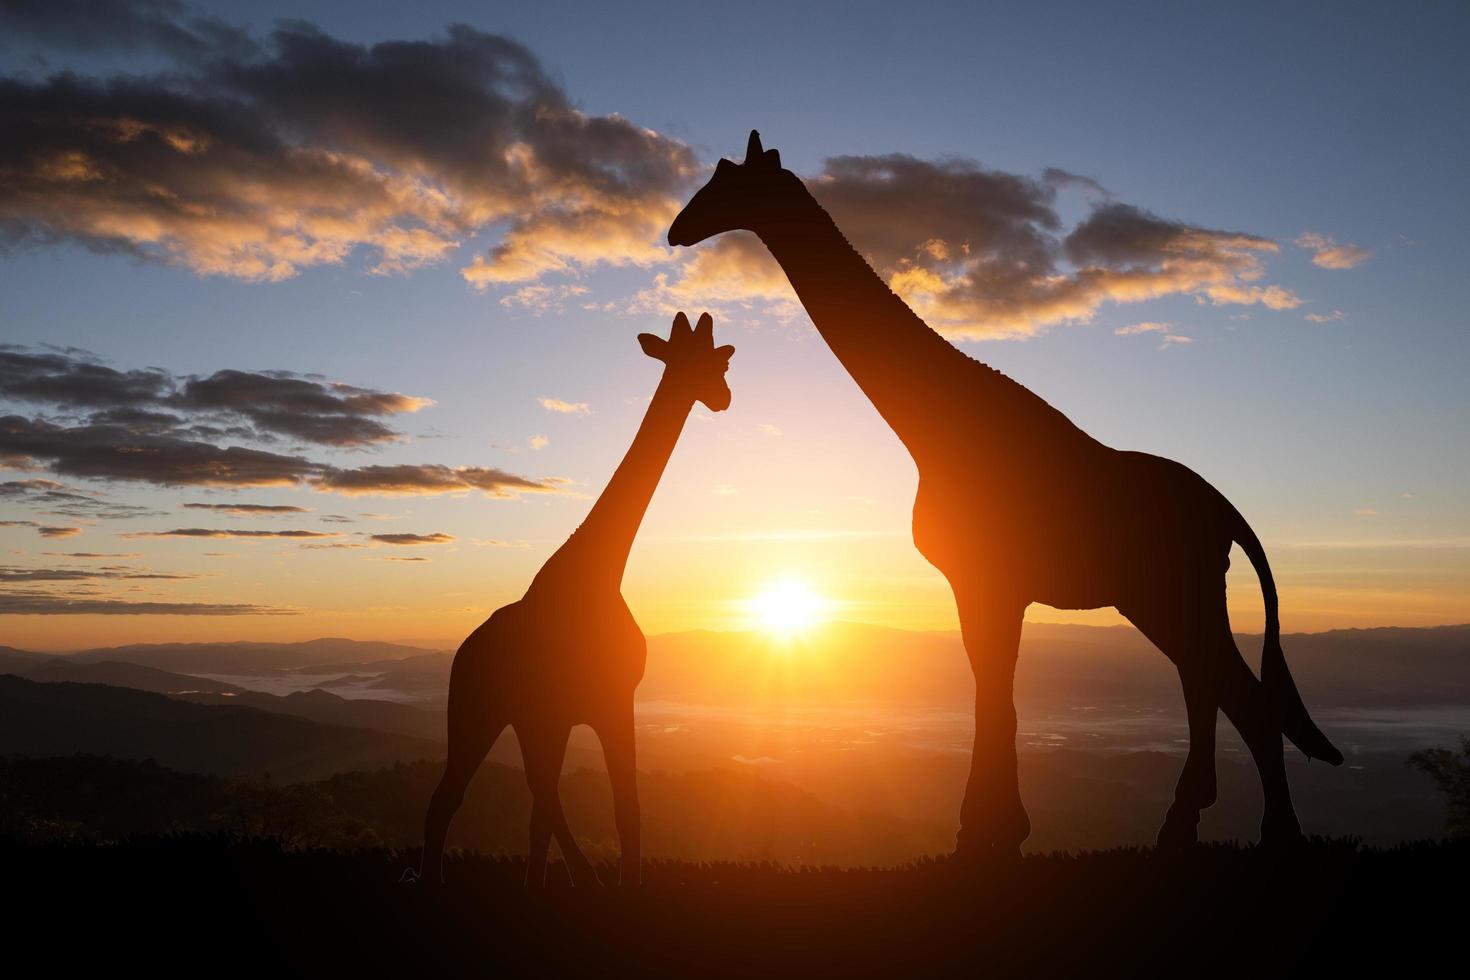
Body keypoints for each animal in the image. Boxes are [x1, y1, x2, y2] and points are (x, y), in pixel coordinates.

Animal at [411, 314, 732, 887]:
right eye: (707, 364)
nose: (725, 397)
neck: (597, 575)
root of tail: (460, 655)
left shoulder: (593, 707)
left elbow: (609, 807)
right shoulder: (599, 703)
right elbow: (611, 809)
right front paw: (621, 889)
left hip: (524, 720)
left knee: (529, 798)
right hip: (475, 710)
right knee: (458, 796)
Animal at [673, 132, 1340, 858]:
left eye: (728, 182)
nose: (677, 230)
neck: (934, 429)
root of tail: (1229, 515)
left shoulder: (986, 581)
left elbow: (994, 696)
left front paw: (983, 833)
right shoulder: (989, 587)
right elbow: (996, 693)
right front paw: (995, 829)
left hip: (1173, 594)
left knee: (1236, 692)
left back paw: (1278, 835)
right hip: (1167, 599)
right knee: (1209, 684)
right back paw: (1186, 826)